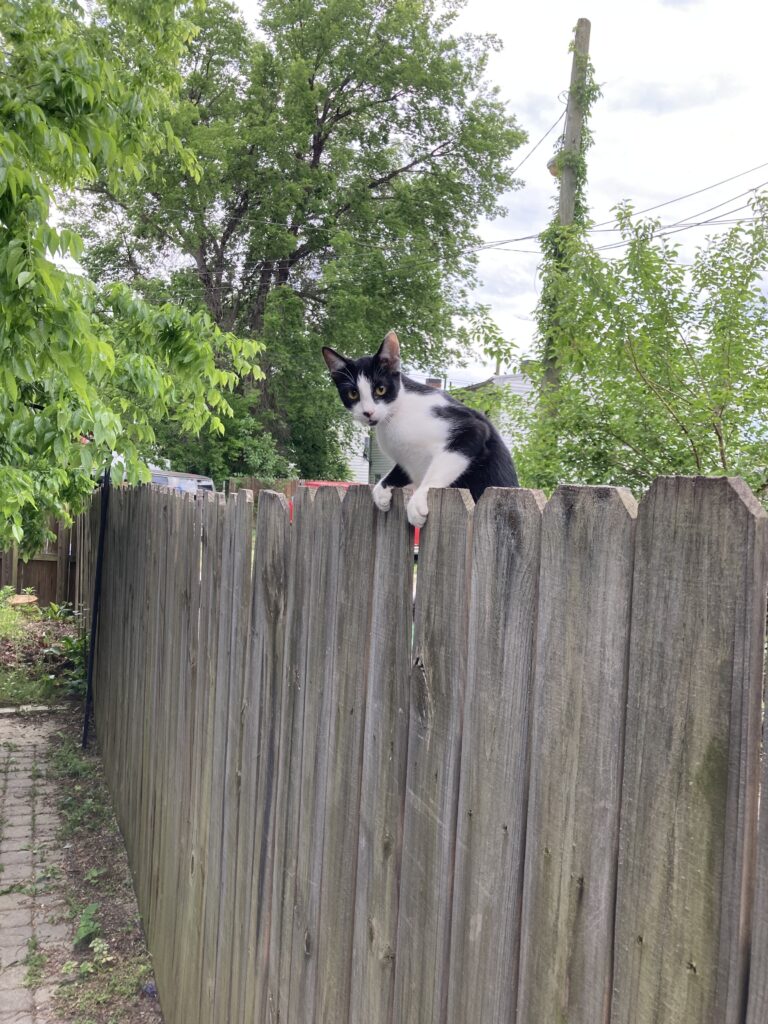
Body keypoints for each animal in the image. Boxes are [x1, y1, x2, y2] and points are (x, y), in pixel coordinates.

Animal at [321, 331, 520, 528]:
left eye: (380, 389)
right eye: (353, 394)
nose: (368, 412)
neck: (394, 416)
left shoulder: (471, 429)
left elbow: (438, 470)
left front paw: (417, 502)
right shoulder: (408, 458)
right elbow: (400, 469)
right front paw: (381, 491)